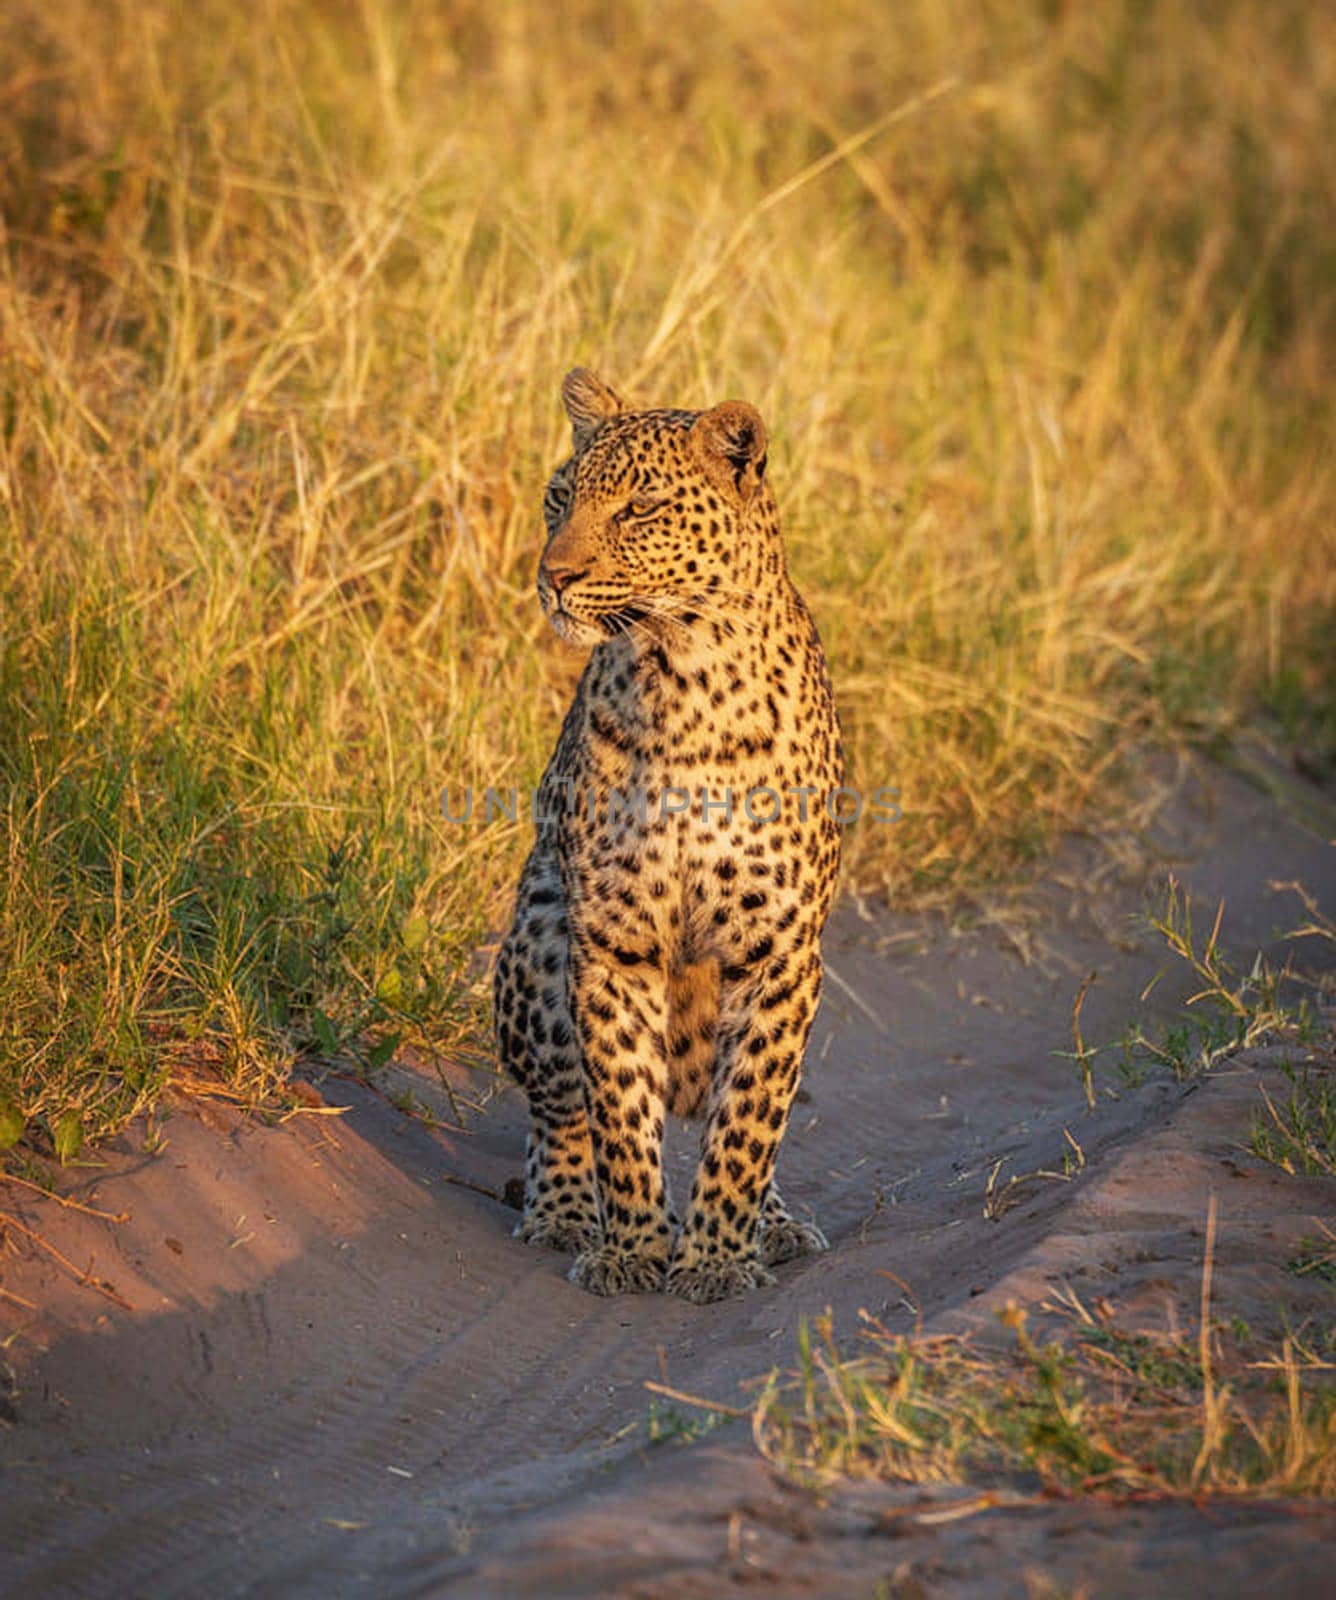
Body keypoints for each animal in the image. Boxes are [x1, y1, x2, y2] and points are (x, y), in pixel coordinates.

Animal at [496, 368, 838, 1305]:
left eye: (639, 510)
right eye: (560, 498)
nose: (552, 576)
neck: (684, 675)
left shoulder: (777, 950)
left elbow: (750, 1117)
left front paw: (717, 1256)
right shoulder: (613, 939)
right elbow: (617, 1104)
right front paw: (635, 1248)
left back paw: (775, 1225)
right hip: (540, 934)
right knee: (558, 1111)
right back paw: (564, 1210)